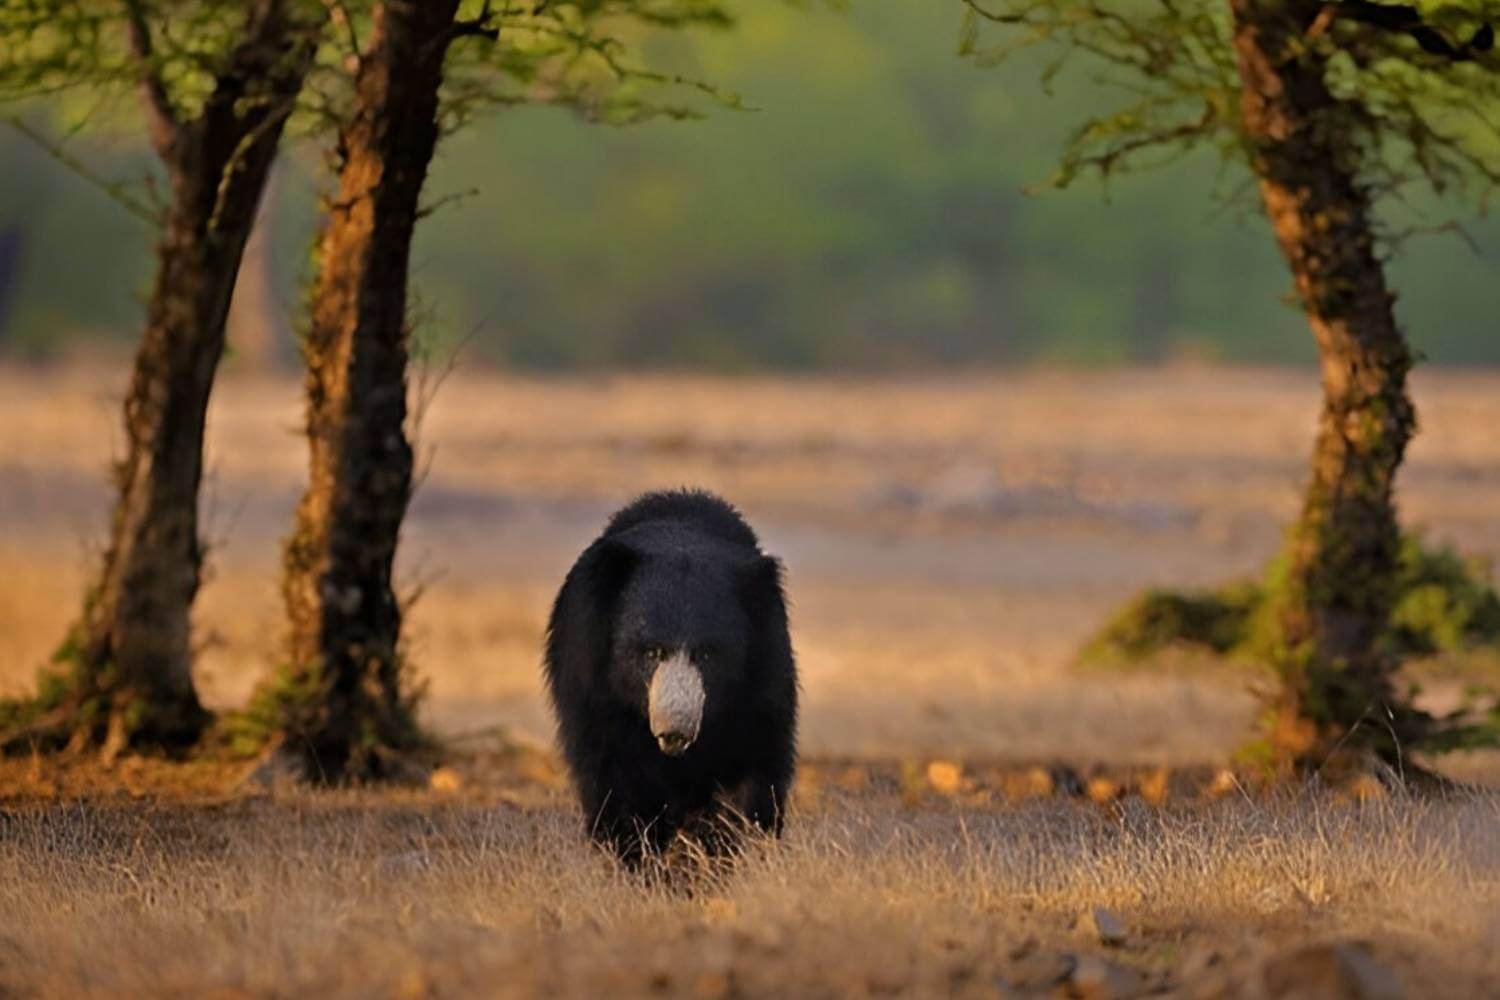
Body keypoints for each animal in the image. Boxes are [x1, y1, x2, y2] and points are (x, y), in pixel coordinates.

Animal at [543, 489, 798, 865]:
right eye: (651, 652)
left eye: (707, 654)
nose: (675, 728)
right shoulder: (594, 688)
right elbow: (616, 779)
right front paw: (638, 857)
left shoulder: (762, 680)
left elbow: (752, 769)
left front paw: (716, 852)